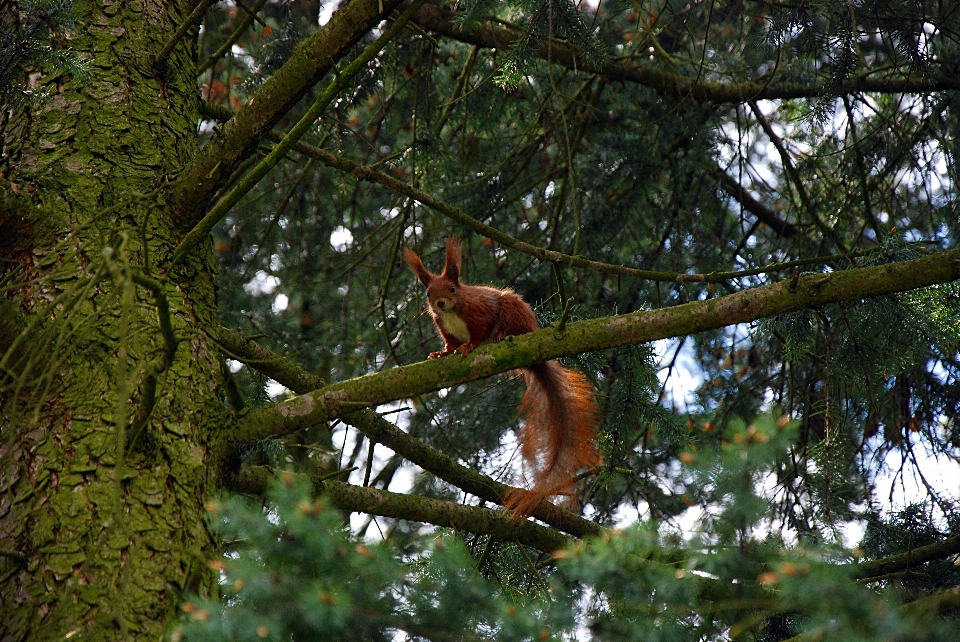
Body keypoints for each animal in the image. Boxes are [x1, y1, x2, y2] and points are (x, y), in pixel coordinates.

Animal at [404, 238, 600, 512]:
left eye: (452, 288)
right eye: (429, 293)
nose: (440, 303)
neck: (453, 312)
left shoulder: (480, 312)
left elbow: (479, 332)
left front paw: (470, 346)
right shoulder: (444, 327)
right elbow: (450, 344)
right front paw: (442, 353)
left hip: (513, 311)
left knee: (510, 327)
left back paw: (502, 335)